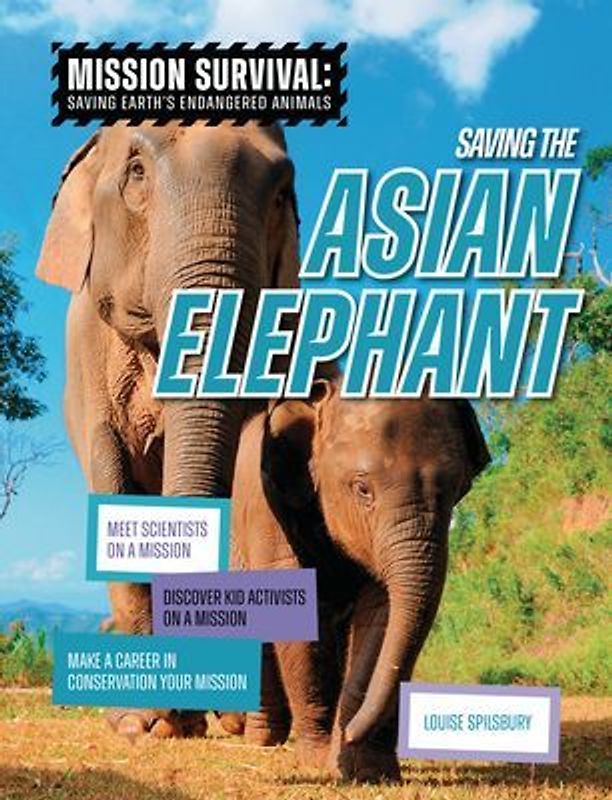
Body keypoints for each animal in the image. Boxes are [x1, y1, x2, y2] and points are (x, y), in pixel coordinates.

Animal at [36, 121, 302, 739]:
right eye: (136, 171)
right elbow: (110, 475)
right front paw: (143, 724)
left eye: (282, 193)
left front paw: (222, 717)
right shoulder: (86, 354)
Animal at [223, 379, 490, 782]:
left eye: (459, 489)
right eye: (363, 489)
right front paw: (318, 758)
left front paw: (366, 769)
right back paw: (262, 740)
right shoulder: (267, 511)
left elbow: (381, 607)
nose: (346, 733)